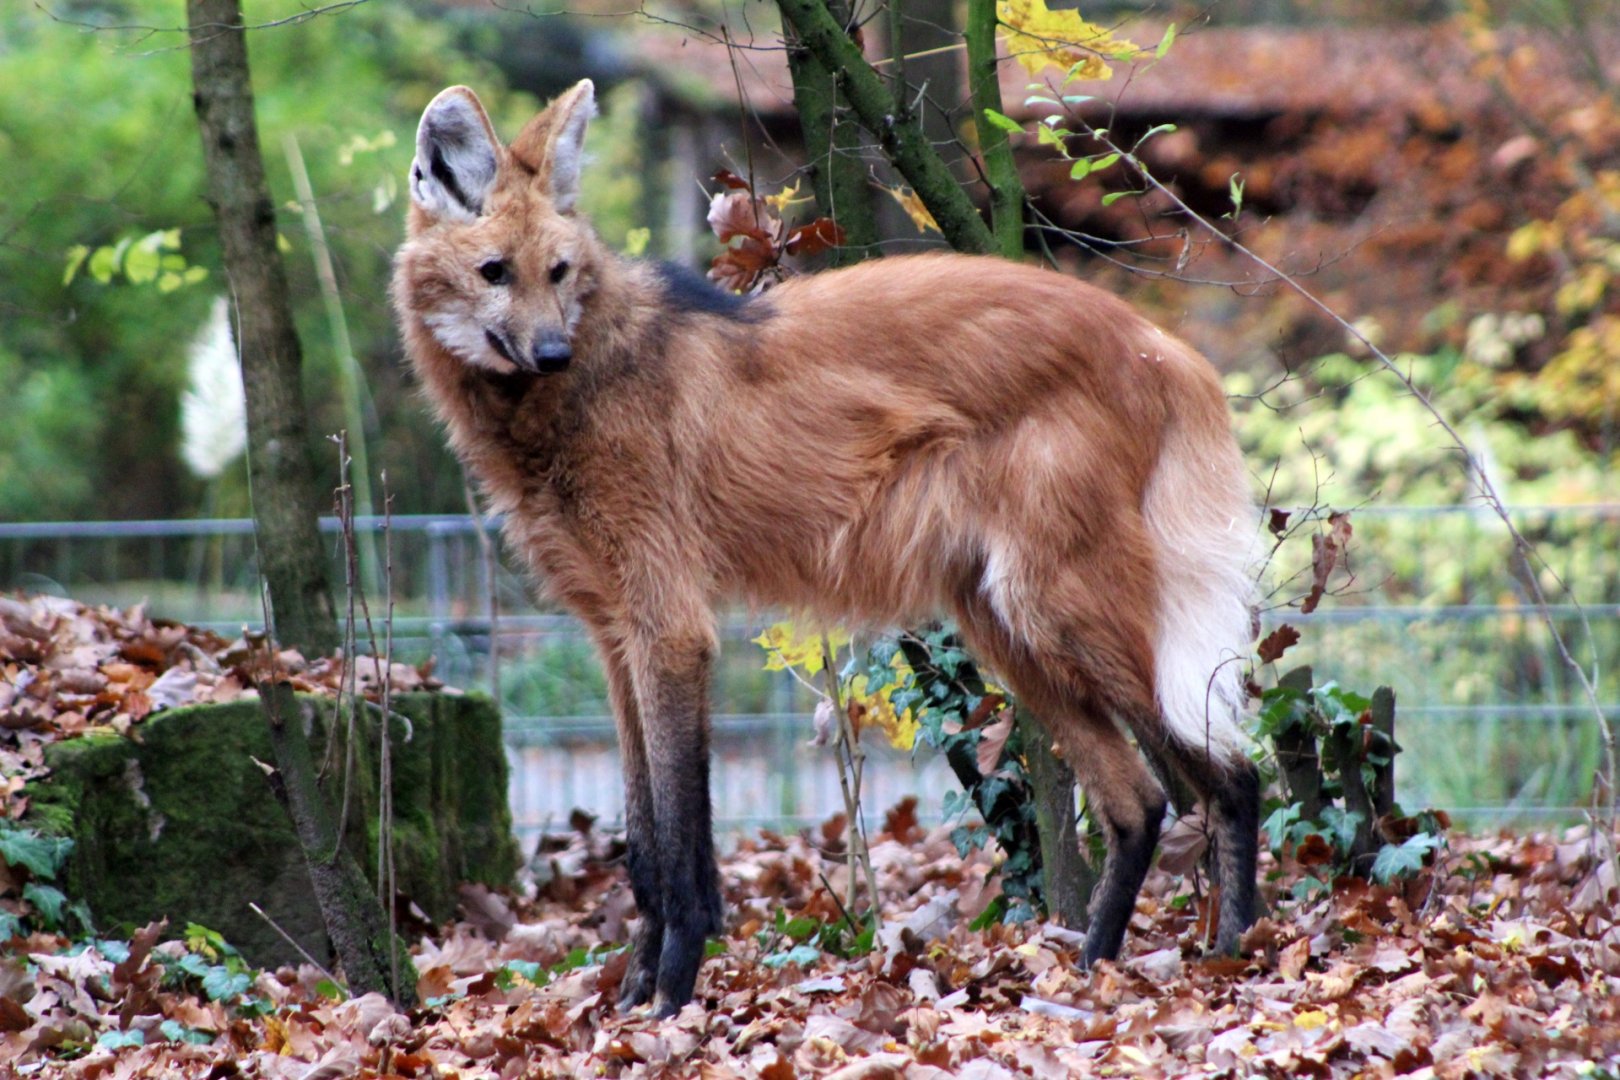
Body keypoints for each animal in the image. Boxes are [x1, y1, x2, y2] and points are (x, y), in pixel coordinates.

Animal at [392, 80, 1261, 1017]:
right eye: (495, 272)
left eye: (557, 272)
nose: (551, 352)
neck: (568, 394)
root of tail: (1159, 343)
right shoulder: (616, 635)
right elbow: (644, 845)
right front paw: (630, 1001)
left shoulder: (670, 629)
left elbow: (680, 851)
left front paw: (669, 1002)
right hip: (1004, 627)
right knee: (1138, 802)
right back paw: (1091, 969)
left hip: (1055, 607)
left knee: (1232, 775)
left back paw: (1237, 956)